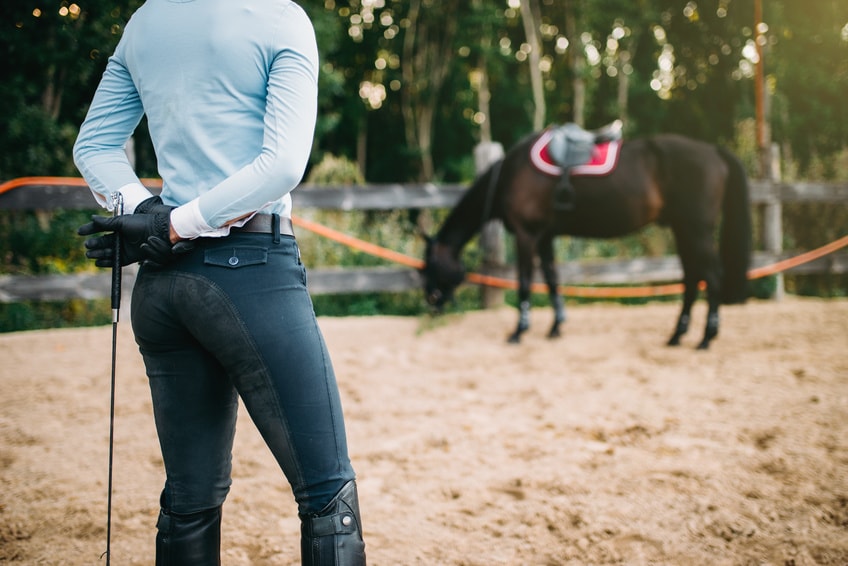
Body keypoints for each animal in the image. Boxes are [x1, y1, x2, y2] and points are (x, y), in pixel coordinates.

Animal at [420, 129, 752, 350]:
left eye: (428, 267)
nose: (431, 306)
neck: (510, 173)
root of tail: (714, 151)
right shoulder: (545, 237)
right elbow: (552, 280)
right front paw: (556, 327)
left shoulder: (527, 236)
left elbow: (525, 281)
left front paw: (519, 331)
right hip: (683, 230)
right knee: (692, 278)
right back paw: (677, 335)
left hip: (697, 231)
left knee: (711, 276)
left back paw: (706, 338)